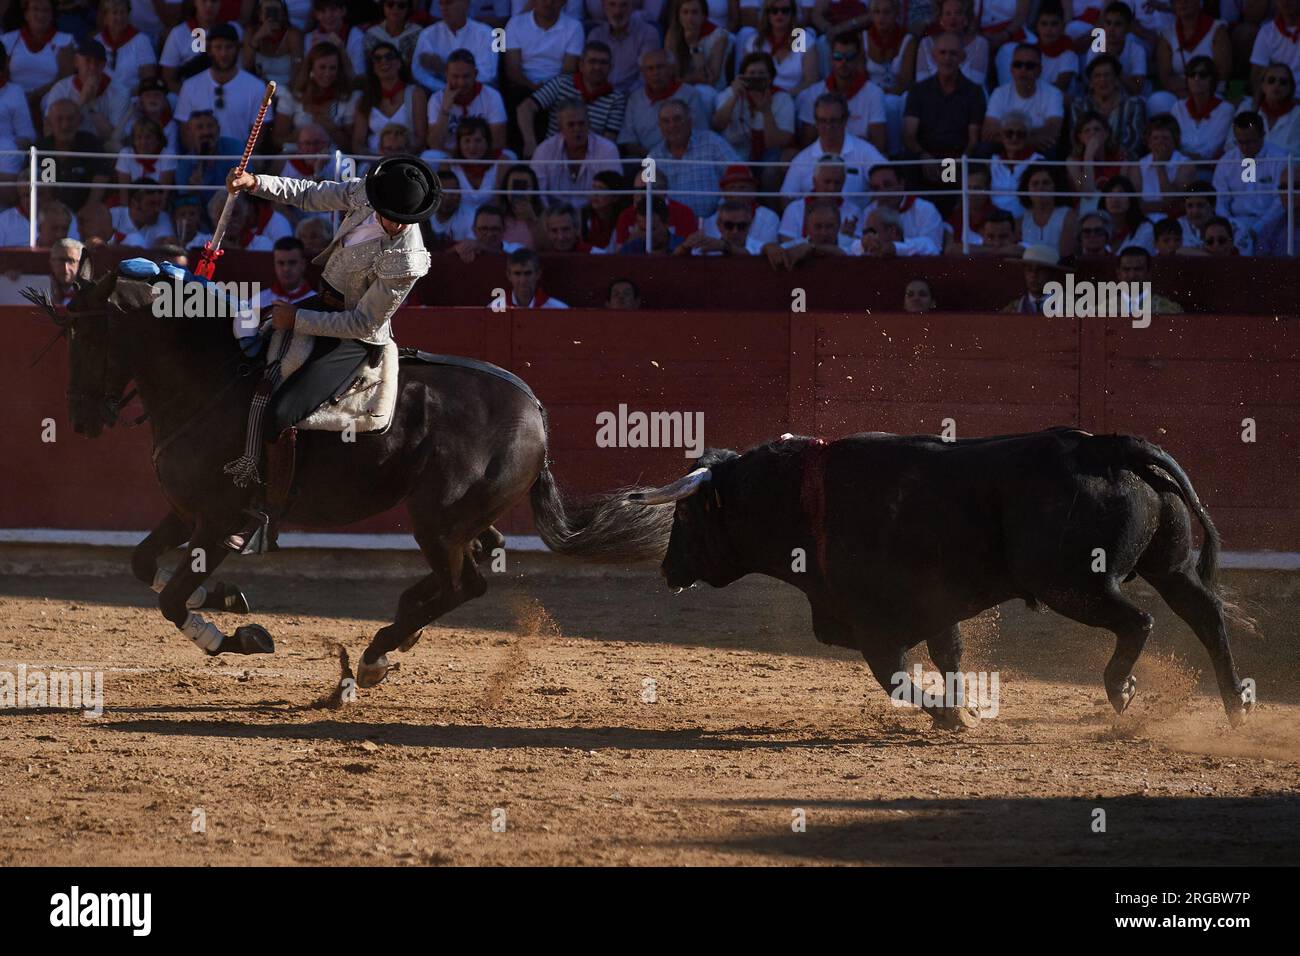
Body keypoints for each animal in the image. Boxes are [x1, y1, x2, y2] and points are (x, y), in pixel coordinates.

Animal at [40, 254, 670, 686]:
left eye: (87, 333)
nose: (80, 417)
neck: (212, 380)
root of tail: (534, 406)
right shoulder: (184, 511)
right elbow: (143, 564)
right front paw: (227, 599)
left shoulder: (219, 521)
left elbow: (171, 598)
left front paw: (242, 637)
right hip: (459, 519)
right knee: (478, 561)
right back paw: (401, 630)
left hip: (436, 521)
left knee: (465, 581)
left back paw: (376, 651)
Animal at [634, 429, 1253, 728]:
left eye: (687, 515)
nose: (666, 569)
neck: (802, 498)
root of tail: (1106, 447)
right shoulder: (937, 609)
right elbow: (947, 656)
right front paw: (965, 709)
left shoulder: (875, 625)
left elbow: (896, 678)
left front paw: (956, 716)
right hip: (1170, 568)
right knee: (1205, 616)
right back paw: (1236, 707)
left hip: (1071, 584)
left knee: (1140, 620)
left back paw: (1121, 689)